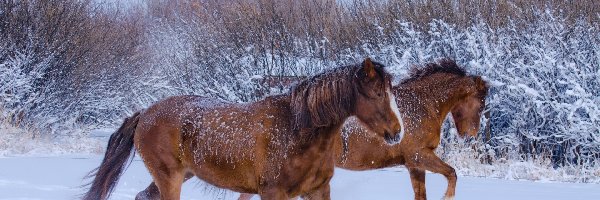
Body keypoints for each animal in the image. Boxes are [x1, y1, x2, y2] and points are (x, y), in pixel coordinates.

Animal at [83, 58, 404, 200]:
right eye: (377, 93)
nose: (397, 132)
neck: (296, 131)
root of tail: (145, 113)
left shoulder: (318, 191)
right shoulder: (274, 194)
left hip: (181, 174)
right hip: (170, 178)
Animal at [234, 58, 488, 199]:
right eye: (481, 102)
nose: (471, 133)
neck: (420, 105)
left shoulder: (414, 165)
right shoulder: (419, 156)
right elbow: (452, 173)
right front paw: (448, 196)